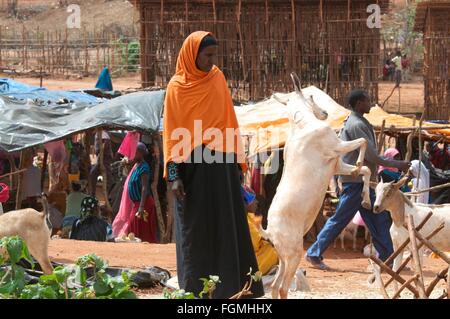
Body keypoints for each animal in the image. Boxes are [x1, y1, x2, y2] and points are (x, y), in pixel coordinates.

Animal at [256, 77, 372, 300]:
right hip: (294, 254)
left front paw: (365, 197)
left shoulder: (336, 165)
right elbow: (363, 141)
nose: (325, 113)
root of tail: (269, 231)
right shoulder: (336, 146)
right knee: (282, 287)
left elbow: (366, 170)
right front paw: (359, 162)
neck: (303, 125)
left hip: (282, 257)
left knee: (274, 286)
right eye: (310, 95)